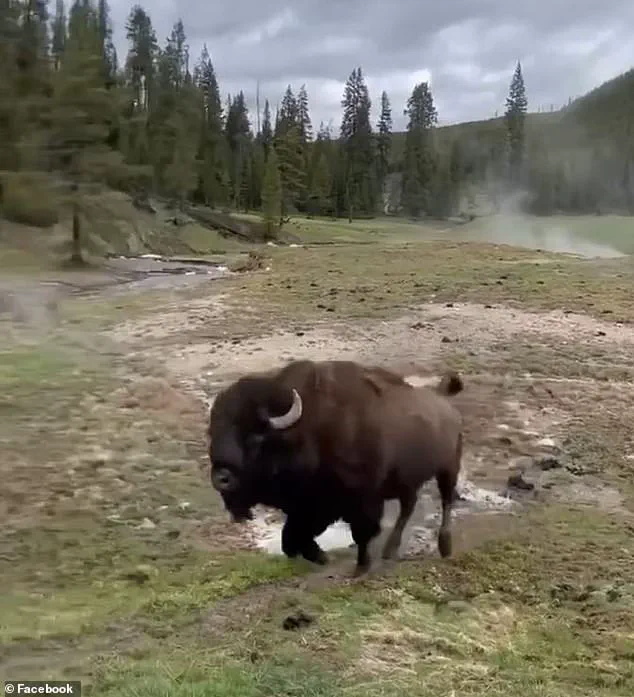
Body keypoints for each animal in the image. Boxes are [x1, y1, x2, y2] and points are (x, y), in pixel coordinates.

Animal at [208, 359, 464, 576]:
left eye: (256, 437)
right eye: (213, 432)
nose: (221, 478)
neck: (308, 432)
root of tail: (445, 402)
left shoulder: (359, 501)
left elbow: (361, 533)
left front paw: (359, 567)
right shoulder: (310, 507)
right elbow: (291, 538)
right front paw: (321, 557)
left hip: (448, 469)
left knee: (446, 501)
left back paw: (445, 546)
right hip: (407, 483)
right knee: (408, 508)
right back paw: (390, 551)